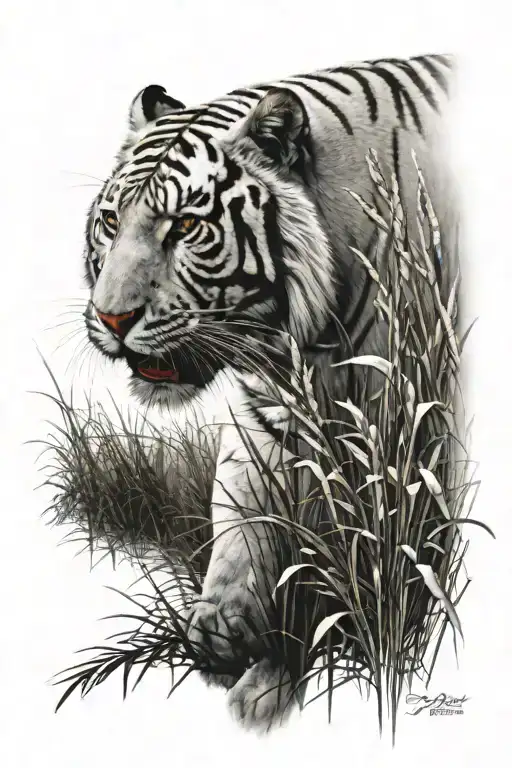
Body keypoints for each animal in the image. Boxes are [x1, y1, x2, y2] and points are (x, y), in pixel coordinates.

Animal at [81, 53, 458, 731]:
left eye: (185, 225)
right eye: (110, 223)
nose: (112, 318)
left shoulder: (421, 406)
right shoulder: (269, 408)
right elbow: (243, 503)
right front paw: (227, 624)